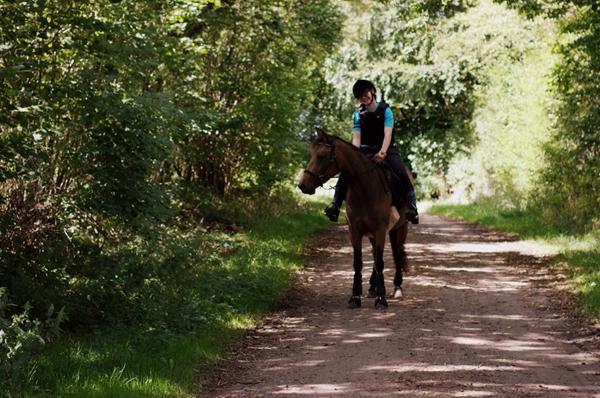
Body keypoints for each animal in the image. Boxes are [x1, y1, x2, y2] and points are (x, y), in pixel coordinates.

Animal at [298, 127, 410, 308]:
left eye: (321, 156)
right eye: (311, 154)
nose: (302, 185)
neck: (365, 189)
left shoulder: (380, 230)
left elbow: (380, 262)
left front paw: (381, 298)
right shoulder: (355, 231)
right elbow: (358, 263)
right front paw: (355, 296)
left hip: (400, 228)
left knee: (396, 254)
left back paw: (397, 288)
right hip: (373, 235)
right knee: (375, 255)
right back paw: (372, 287)